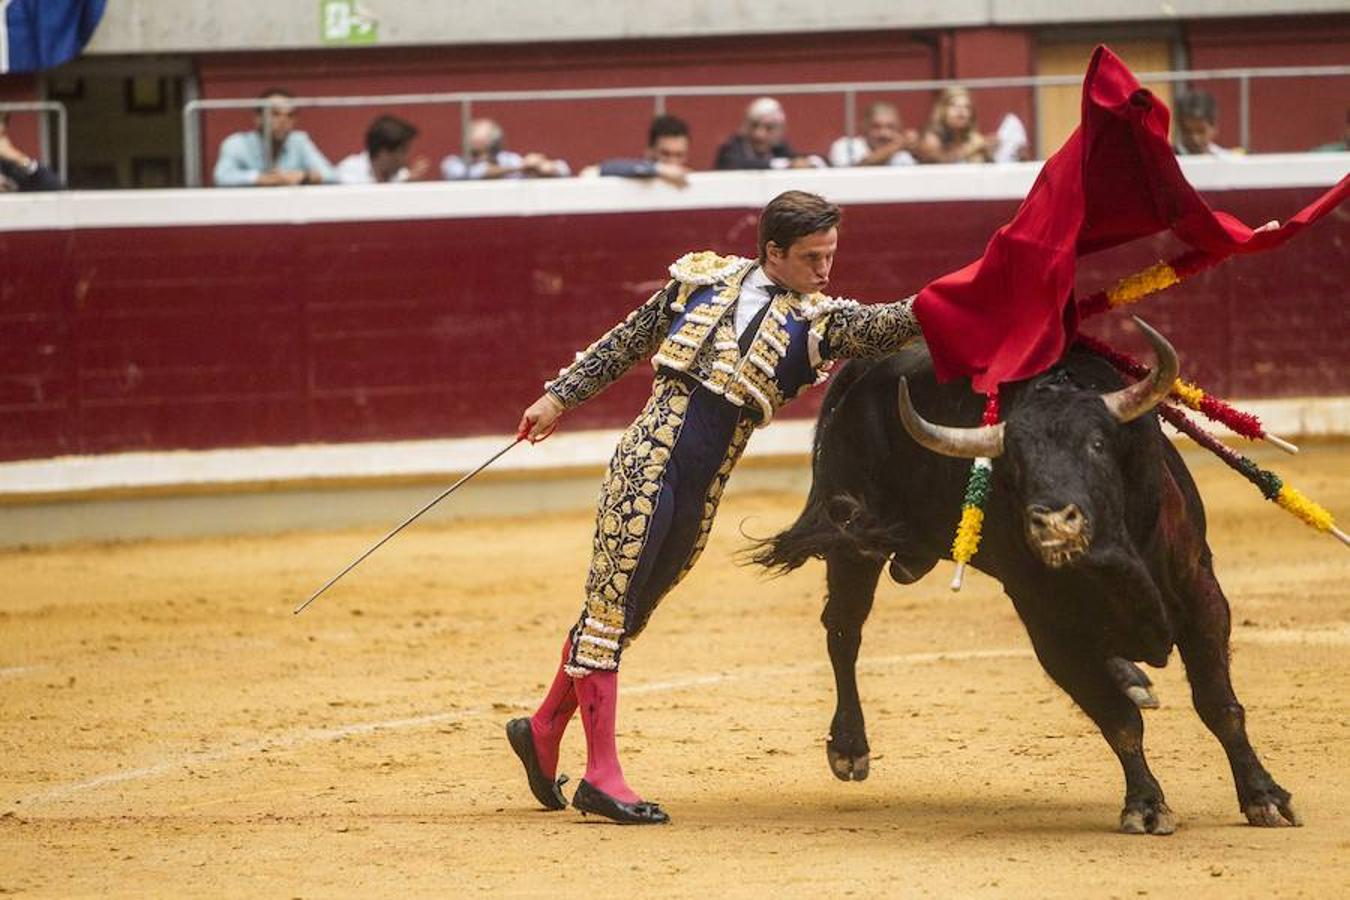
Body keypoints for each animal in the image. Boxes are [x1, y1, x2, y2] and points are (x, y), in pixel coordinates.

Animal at [756, 319, 1301, 836]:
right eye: (1013, 465)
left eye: (1096, 444)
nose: (1055, 522)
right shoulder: (1050, 630)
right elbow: (1118, 721)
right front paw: (1146, 806)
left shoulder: (1200, 593)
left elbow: (1219, 705)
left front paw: (1265, 797)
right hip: (852, 542)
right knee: (843, 632)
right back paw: (849, 747)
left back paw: (1131, 676)